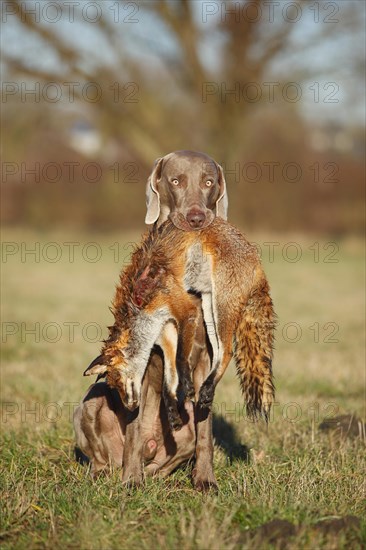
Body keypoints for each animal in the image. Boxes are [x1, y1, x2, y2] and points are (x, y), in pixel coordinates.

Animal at [74, 150, 227, 492]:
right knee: (105, 456)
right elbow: (134, 429)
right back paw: (112, 473)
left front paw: (205, 480)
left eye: (209, 182)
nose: (197, 218)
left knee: (167, 460)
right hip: (89, 403)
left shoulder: (204, 361)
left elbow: (206, 430)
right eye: (176, 181)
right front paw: (131, 482)